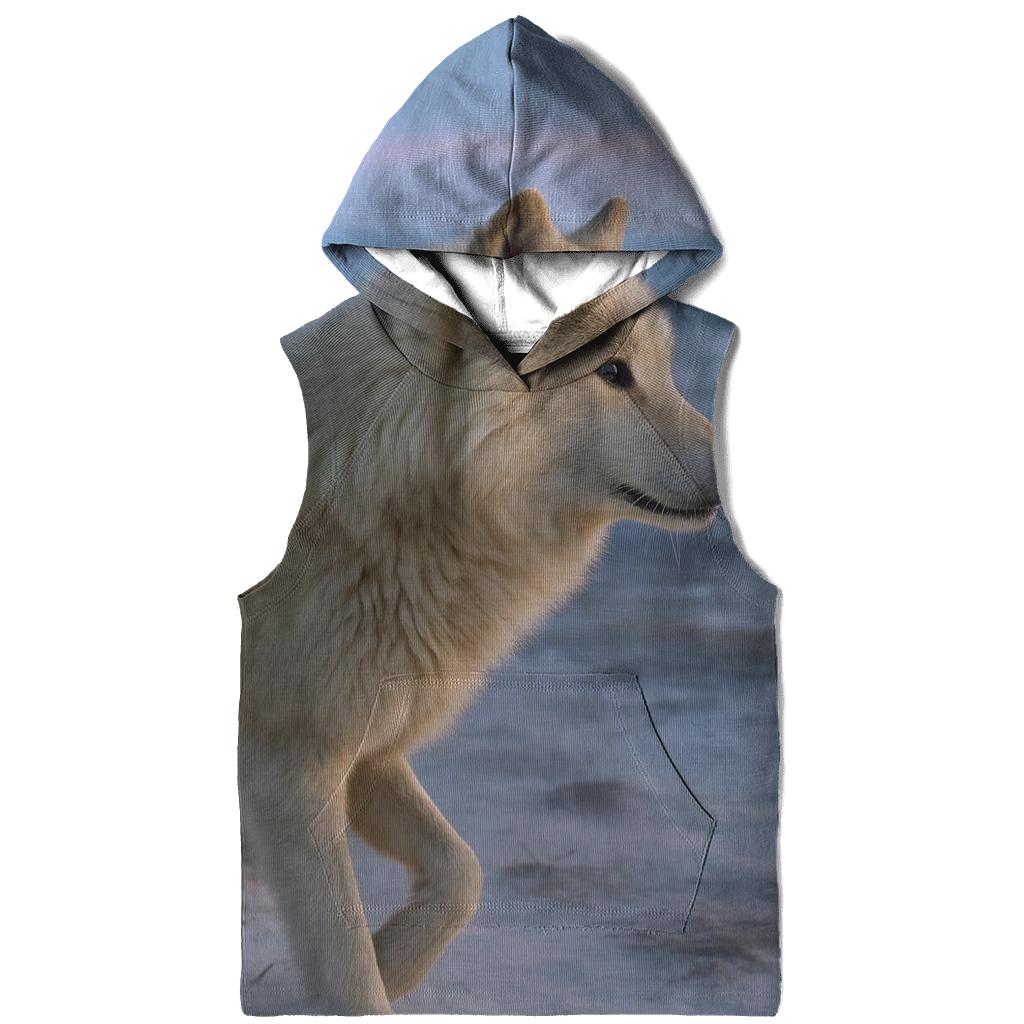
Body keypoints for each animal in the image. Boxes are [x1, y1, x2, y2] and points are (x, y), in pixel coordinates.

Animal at [239, 193, 720, 1013]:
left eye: (659, 366)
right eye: (613, 372)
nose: (729, 481)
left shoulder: (367, 757)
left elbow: (463, 874)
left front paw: (393, 962)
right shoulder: (289, 776)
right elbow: (345, 961)